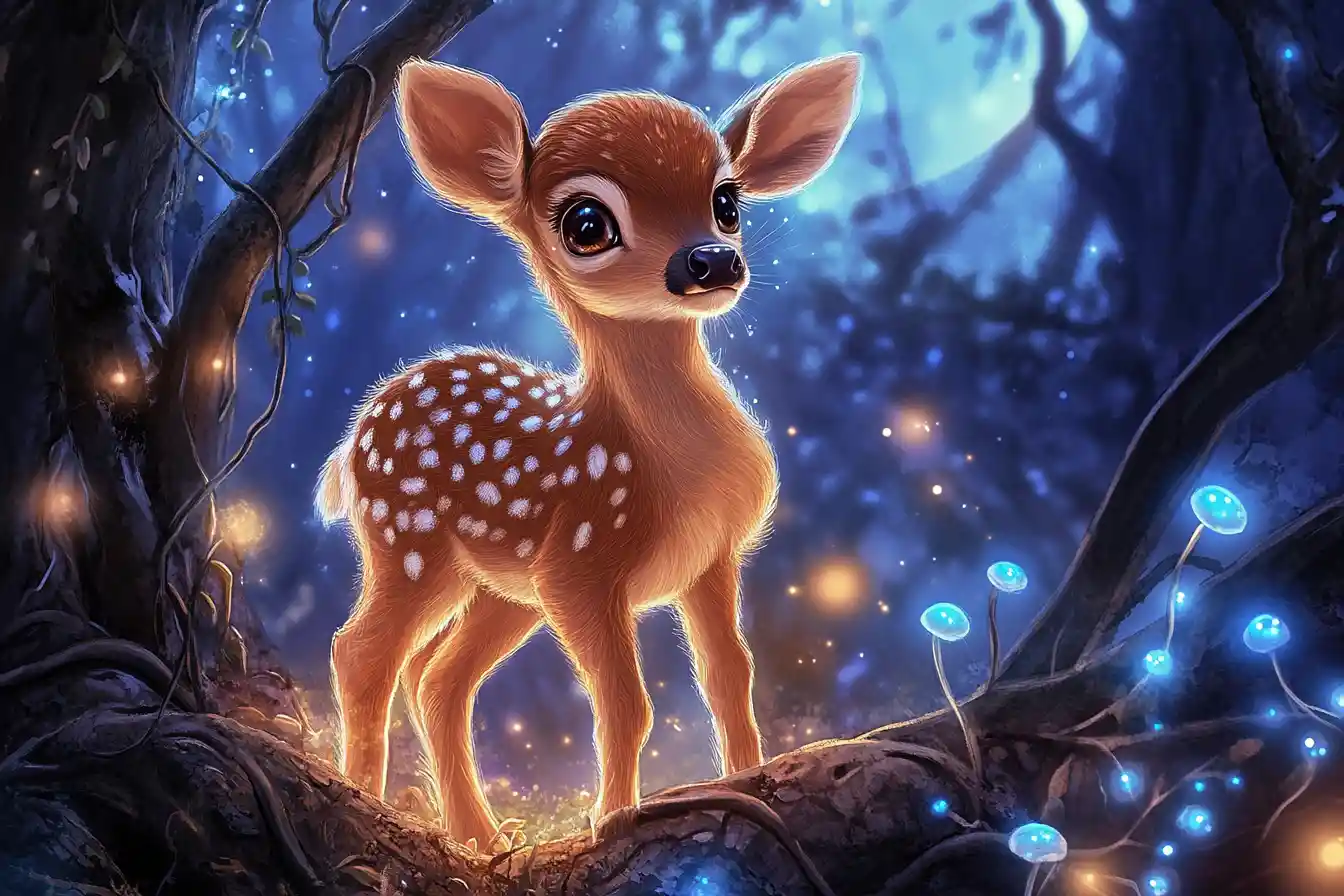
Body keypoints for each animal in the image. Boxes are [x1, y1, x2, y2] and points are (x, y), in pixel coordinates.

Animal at [315, 52, 862, 852]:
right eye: (586, 223)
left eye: (727, 201)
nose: (711, 260)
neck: (666, 463)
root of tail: (355, 434)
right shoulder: (582, 567)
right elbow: (626, 702)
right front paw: (613, 818)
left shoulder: (712, 557)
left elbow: (729, 673)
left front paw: (748, 778)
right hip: (410, 542)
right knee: (362, 652)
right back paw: (368, 800)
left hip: (503, 586)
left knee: (437, 677)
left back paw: (484, 839)